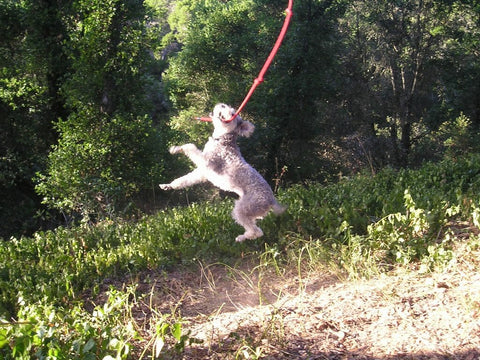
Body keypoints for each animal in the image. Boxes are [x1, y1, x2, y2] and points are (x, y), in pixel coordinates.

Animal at [159, 102, 284, 240]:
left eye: (233, 113)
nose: (222, 104)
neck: (222, 139)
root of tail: (271, 200)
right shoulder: (202, 173)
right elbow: (183, 180)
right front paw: (168, 185)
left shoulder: (206, 162)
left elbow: (189, 146)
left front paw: (175, 149)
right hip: (252, 212)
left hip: (243, 208)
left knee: (256, 231)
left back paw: (241, 238)